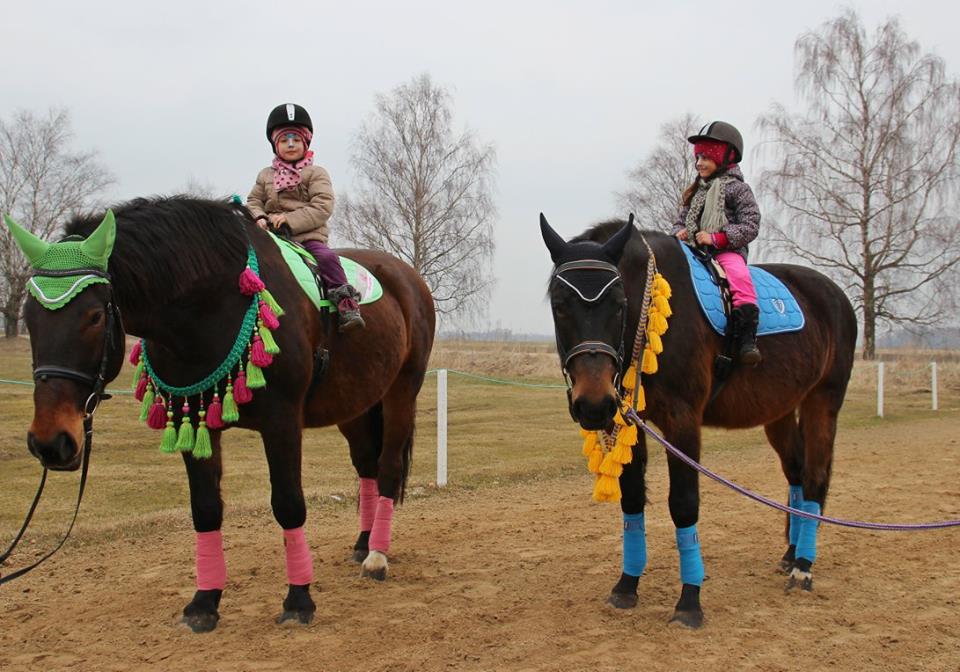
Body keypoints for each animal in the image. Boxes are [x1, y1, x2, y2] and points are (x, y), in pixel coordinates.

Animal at [6, 196, 435, 632]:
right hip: (355, 405)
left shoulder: (282, 422)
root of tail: (405, 277)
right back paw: (364, 543)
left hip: (402, 391)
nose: (50, 442)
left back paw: (377, 556)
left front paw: (299, 599)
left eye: (94, 317)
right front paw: (204, 602)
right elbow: (206, 509)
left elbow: (288, 504)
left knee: (387, 468)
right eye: (29, 318)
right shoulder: (194, 420)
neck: (212, 305)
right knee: (366, 466)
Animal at [540, 215, 857, 628]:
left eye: (619, 303)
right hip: (781, 412)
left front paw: (689, 599)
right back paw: (792, 553)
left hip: (824, 401)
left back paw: (804, 565)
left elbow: (684, 504)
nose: (593, 404)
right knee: (798, 475)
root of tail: (833, 293)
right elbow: (632, 500)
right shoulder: (629, 419)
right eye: (560, 305)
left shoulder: (683, 421)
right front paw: (627, 584)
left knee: (816, 477)